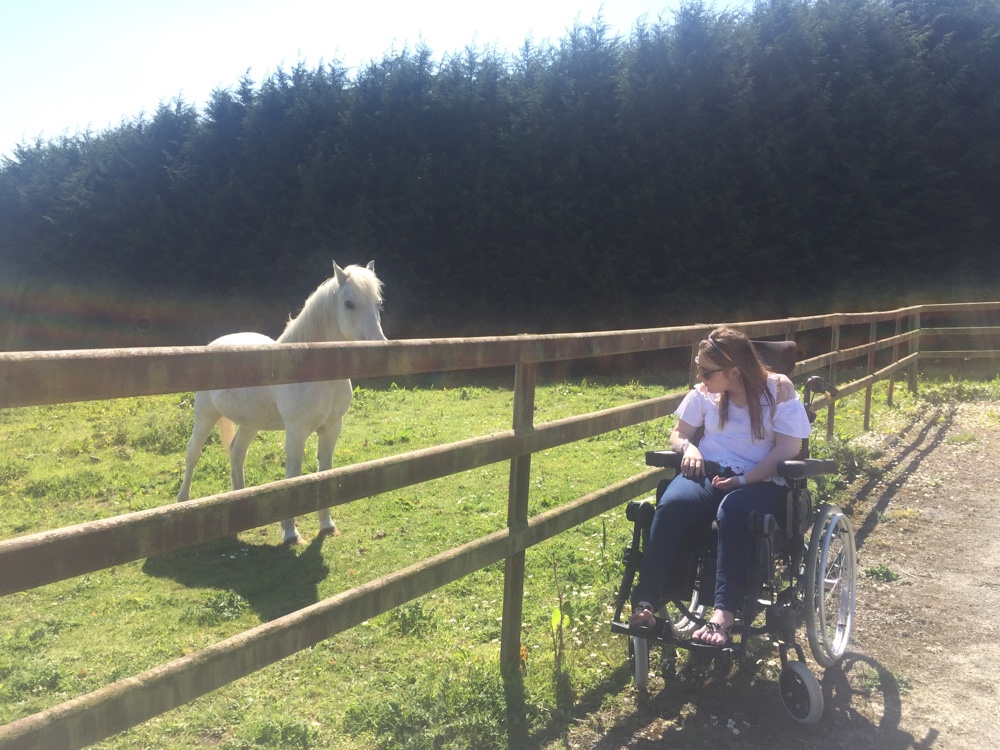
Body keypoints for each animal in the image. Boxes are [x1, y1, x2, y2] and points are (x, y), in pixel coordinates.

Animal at [176, 260, 386, 544]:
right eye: (349, 303)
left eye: (378, 303)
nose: (379, 347)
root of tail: (214, 344)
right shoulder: (296, 431)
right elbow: (293, 476)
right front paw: (290, 532)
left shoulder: (332, 428)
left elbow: (325, 471)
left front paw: (327, 524)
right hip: (205, 416)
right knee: (193, 453)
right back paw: (183, 502)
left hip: (249, 423)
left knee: (236, 453)